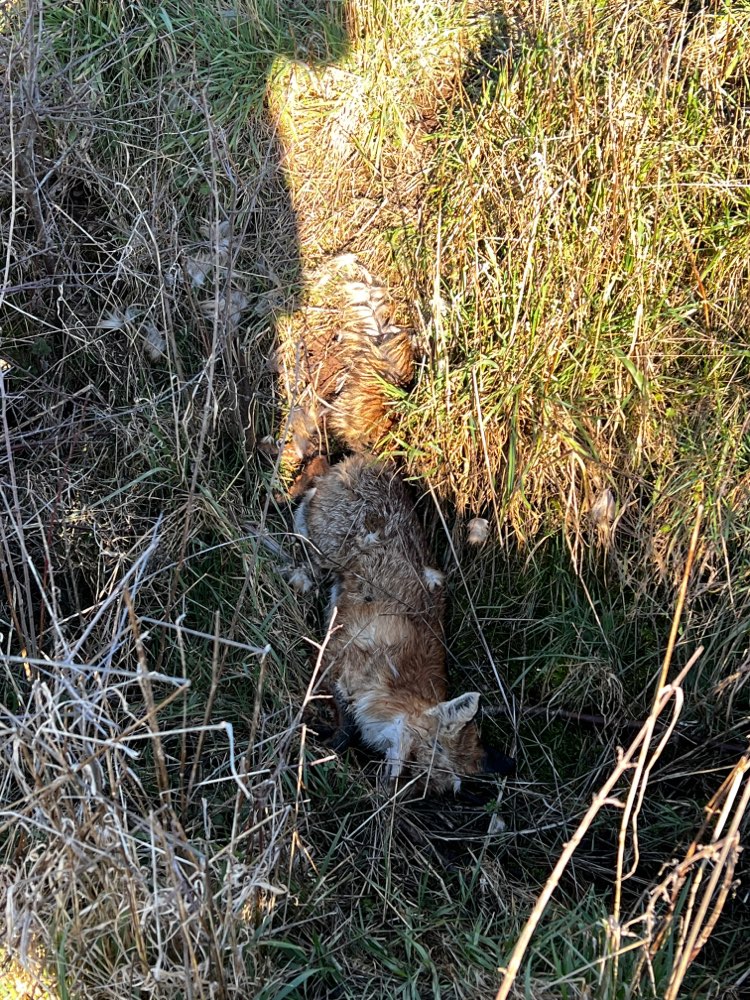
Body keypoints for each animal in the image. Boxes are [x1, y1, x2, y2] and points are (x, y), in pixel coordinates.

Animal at [292, 454, 514, 796]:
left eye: (428, 783)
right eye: (427, 752)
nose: (396, 790)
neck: (395, 683)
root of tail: (375, 463)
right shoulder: (336, 657)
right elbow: (345, 722)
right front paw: (330, 739)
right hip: (329, 547)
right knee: (314, 477)